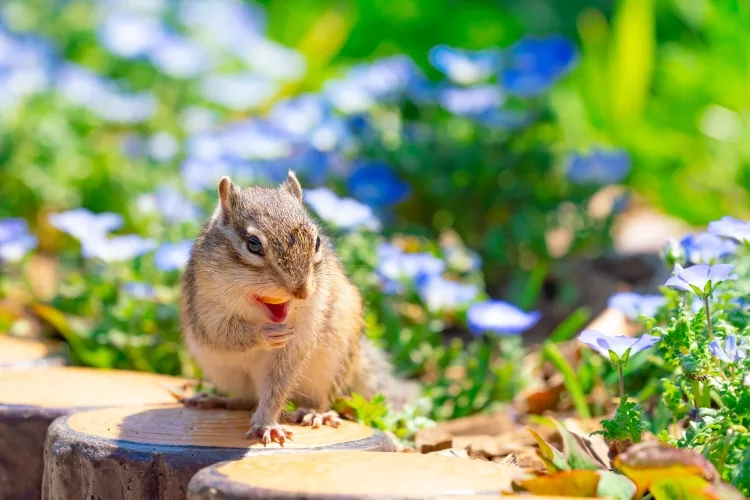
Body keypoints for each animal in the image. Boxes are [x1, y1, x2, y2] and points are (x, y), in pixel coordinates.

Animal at [180, 171, 417, 445]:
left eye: (317, 241)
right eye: (253, 244)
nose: (302, 291)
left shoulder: (300, 336)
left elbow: (278, 385)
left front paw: (267, 425)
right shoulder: (206, 309)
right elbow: (221, 336)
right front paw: (263, 334)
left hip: (331, 368)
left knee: (315, 399)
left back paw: (316, 413)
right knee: (247, 399)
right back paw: (218, 400)